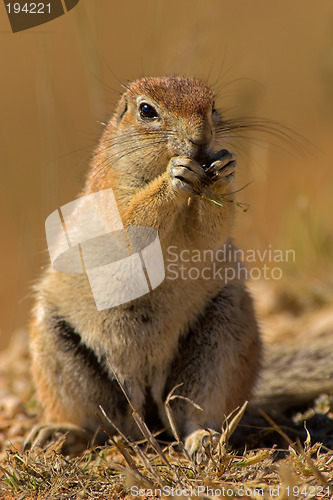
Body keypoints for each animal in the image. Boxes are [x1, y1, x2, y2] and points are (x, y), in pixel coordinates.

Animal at [26, 75, 264, 458]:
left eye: (213, 106)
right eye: (147, 111)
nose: (202, 139)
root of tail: (144, 400)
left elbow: (208, 234)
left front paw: (224, 168)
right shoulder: (109, 191)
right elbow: (130, 222)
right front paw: (175, 175)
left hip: (223, 340)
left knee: (192, 412)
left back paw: (203, 438)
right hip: (55, 350)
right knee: (93, 424)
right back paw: (55, 432)